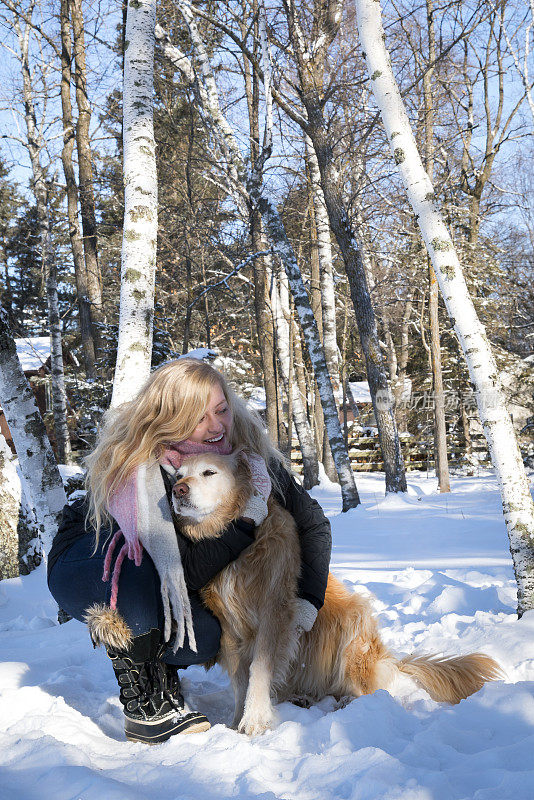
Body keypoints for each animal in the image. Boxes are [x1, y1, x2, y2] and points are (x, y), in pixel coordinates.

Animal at [174, 454, 504, 736]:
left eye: (208, 472)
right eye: (178, 475)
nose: (177, 490)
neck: (235, 542)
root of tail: (388, 659)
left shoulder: (275, 614)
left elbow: (258, 669)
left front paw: (255, 720)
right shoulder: (228, 625)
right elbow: (240, 678)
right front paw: (234, 722)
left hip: (351, 625)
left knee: (367, 689)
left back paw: (349, 702)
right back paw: (303, 698)